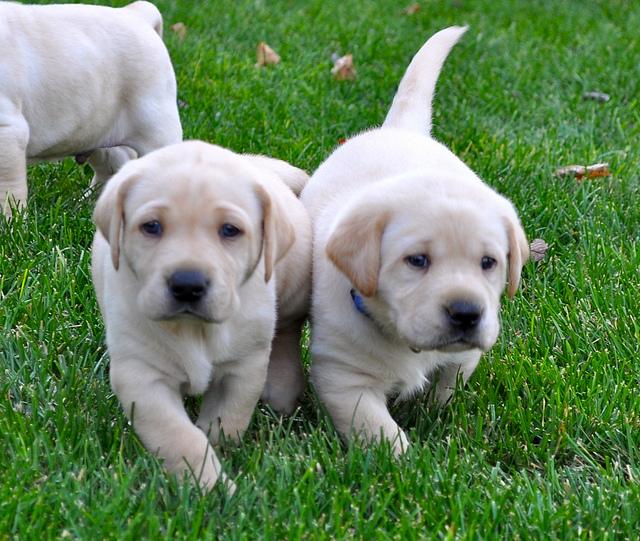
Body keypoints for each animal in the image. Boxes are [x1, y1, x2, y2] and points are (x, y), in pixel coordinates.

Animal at [1, 1, 181, 215]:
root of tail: (135, 14)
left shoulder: (8, 132)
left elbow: (8, 191)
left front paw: (11, 221)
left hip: (157, 130)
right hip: (100, 134)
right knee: (113, 167)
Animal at [94, 140, 312, 490]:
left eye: (230, 230)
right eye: (151, 226)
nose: (187, 284)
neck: (193, 329)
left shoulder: (242, 368)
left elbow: (225, 421)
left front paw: (221, 464)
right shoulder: (141, 374)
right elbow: (182, 438)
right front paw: (210, 485)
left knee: (287, 329)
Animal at [302, 26, 528, 456]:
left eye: (488, 263)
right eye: (417, 261)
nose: (467, 313)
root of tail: (399, 130)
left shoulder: (463, 356)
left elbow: (448, 383)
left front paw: (433, 412)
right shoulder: (344, 376)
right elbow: (378, 430)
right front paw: (402, 460)